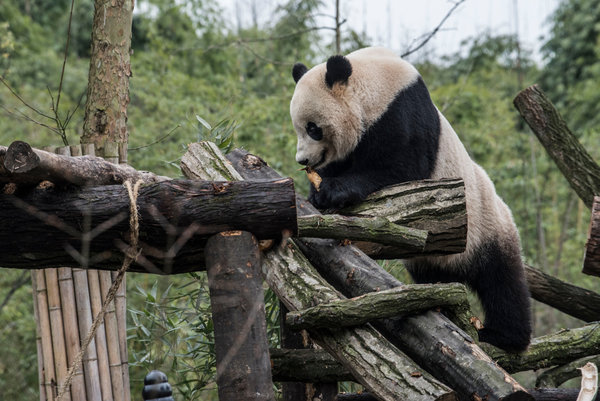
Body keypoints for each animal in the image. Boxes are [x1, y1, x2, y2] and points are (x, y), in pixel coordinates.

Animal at [290, 47, 528, 352]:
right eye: (298, 127)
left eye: (313, 128)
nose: (303, 160)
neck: (374, 83)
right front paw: (317, 190)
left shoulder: (402, 114)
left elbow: (402, 167)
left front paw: (334, 190)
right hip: (432, 259)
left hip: (488, 226)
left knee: (502, 281)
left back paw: (504, 336)